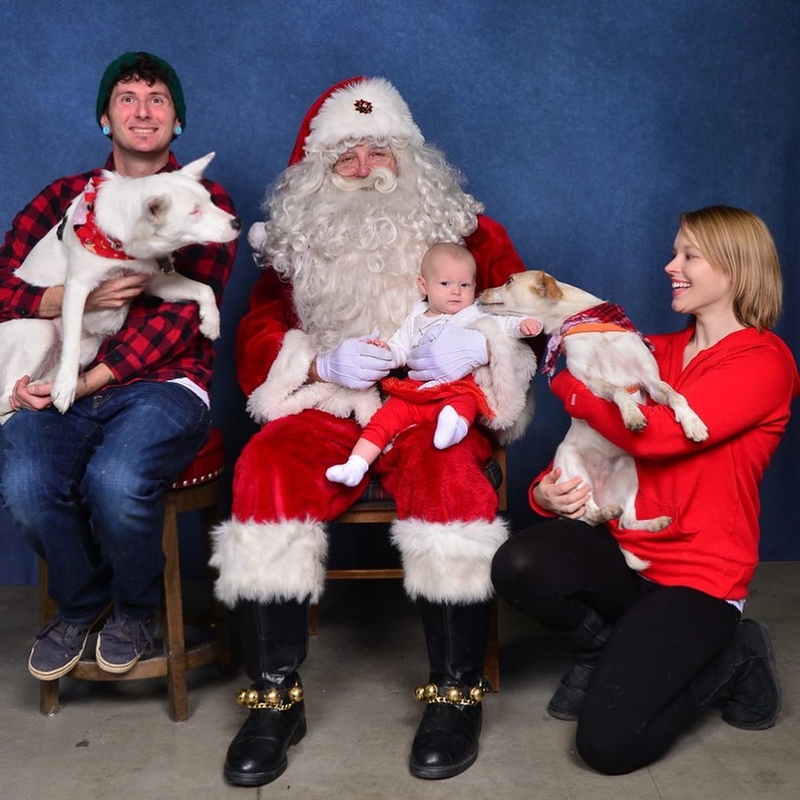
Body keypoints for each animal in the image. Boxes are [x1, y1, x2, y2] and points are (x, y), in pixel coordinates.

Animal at [0, 152, 241, 422]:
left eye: (210, 201)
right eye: (194, 212)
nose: (237, 222)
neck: (122, 245)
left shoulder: (157, 282)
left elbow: (205, 289)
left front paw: (210, 322)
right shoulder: (77, 287)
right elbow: (71, 344)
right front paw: (65, 388)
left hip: (91, 346)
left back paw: (40, 385)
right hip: (41, 331)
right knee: (9, 394)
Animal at [476, 268, 708, 568]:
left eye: (509, 281)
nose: (479, 292)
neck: (588, 323)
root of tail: (601, 493)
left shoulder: (651, 381)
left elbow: (674, 395)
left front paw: (693, 423)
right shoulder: (590, 381)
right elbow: (617, 389)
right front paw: (632, 415)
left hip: (629, 473)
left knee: (626, 520)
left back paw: (653, 523)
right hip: (573, 469)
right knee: (589, 515)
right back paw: (604, 513)